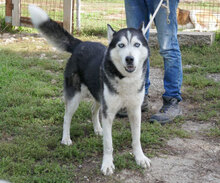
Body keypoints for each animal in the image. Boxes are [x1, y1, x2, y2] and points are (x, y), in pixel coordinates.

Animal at [28, 4, 150, 176]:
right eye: (121, 45)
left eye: (137, 45)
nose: (129, 59)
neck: (125, 79)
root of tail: (80, 43)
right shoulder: (108, 112)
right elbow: (108, 143)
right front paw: (107, 164)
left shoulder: (134, 111)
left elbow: (136, 139)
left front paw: (140, 158)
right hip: (75, 97)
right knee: (66, 117)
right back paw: (66, 138)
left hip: (98, 94)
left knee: (93, 109)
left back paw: (98, 129)